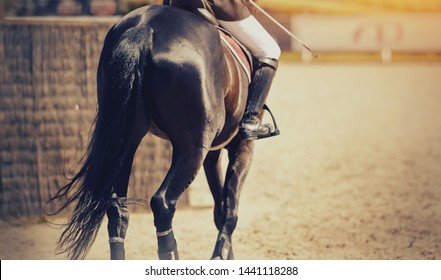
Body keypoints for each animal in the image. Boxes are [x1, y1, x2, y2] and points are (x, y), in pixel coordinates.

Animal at [48, 2, 268, 260]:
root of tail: (144, 29)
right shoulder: (241, 146)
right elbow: (230, 208)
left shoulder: (213, 151)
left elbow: (220, 207)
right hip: (193, 148)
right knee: (163, 203)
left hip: (125, 141)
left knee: (117, 207)